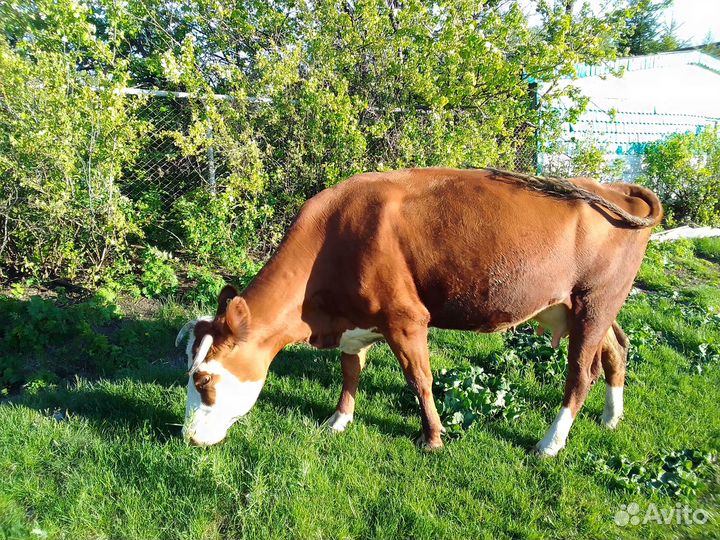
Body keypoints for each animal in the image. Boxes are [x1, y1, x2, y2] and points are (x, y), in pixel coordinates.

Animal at [175, 167, 662, 456]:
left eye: (203, 380)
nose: (187, 436)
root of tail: (612, 188)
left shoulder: (406, 320)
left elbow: (420, 381)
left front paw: (432, 438)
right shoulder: (355, 322)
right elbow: (350, 371)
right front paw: (339, 420)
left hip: (595, 301)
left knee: (580, 374)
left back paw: (550, 442)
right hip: (586, 305)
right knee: (616, 349)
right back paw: (611, 417)